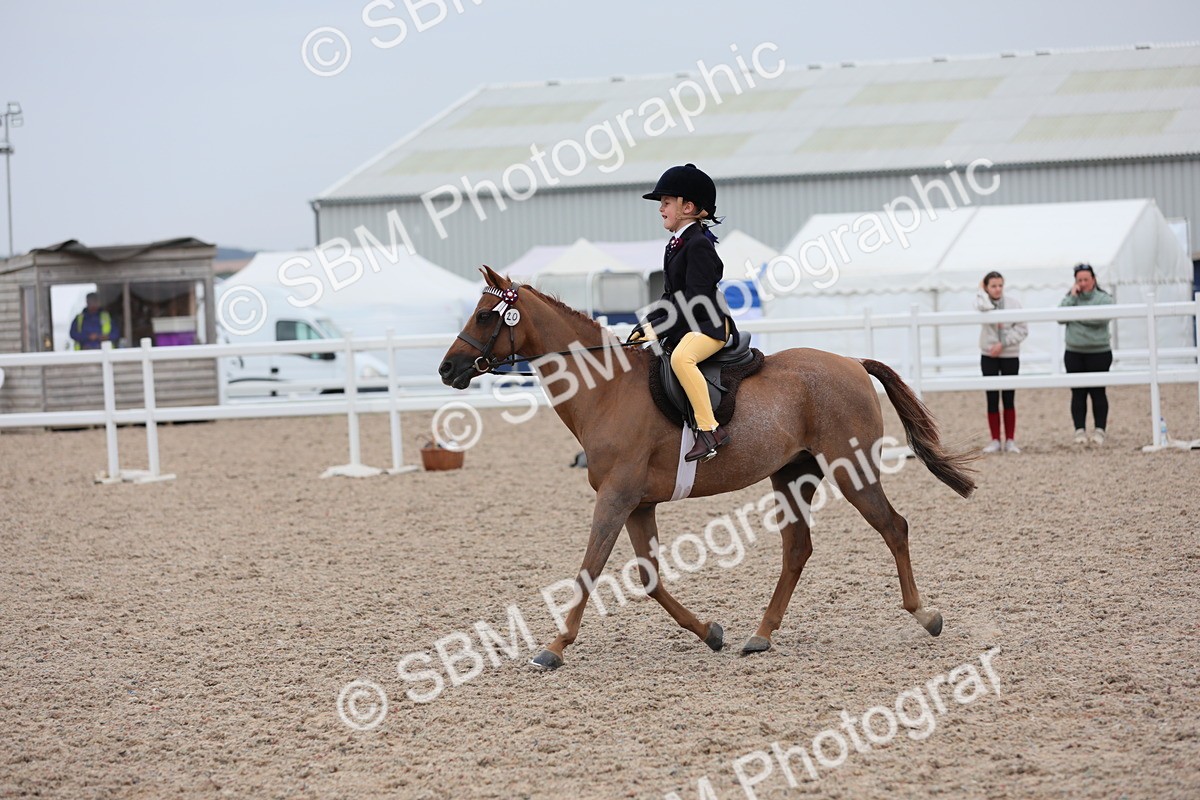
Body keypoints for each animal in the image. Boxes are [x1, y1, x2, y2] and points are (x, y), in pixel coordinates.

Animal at [439, 266, 976, 669]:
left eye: (485, 315)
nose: (447, 369)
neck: (606, 389)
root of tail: (851, 361)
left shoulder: (615, 497)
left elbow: (590, 569)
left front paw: (553, 648)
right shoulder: (638, 505)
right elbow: (649, 578)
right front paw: (709, 632)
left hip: (852, 469)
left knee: (893, 527)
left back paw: (925, 615)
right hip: (792, 474)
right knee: (798, 548)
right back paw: (760, 635)